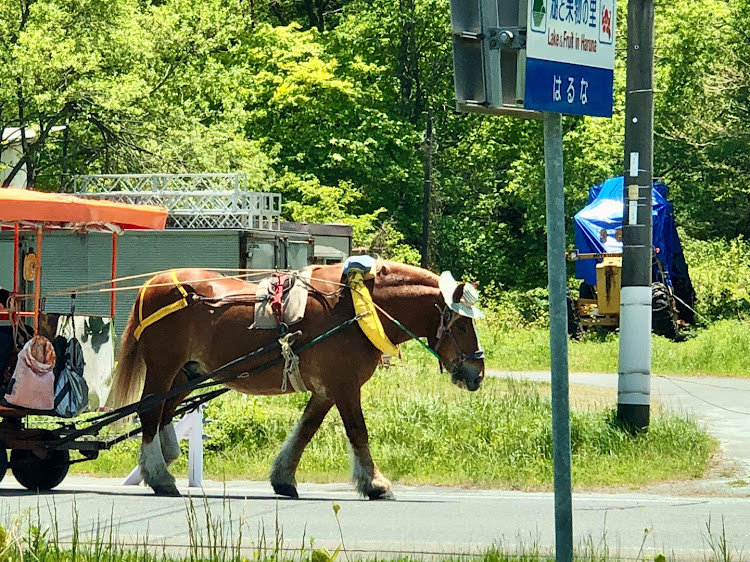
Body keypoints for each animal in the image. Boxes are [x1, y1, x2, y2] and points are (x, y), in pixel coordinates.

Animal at [111, 260, 488, 496]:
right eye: (463, 325)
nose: (478, 374)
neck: (356, 311)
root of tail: (153, 283)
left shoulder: (326, 390)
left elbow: (304, 431)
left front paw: (283, 478)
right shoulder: (344, 386)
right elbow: (358, 432)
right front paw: (374, 484)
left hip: (184, 372)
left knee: (162, 414)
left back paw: (160, 462)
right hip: (164, 366)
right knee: (148, 412)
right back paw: (160, 475)